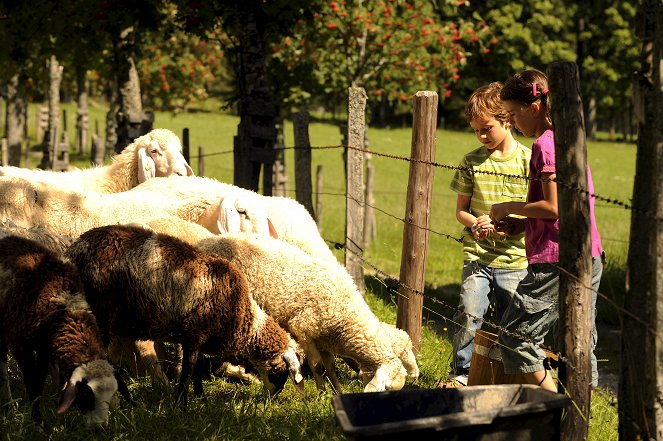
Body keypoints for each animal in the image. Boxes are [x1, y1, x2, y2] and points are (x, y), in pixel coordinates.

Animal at [0, 237, 124, 426]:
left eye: (111, 396)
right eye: (86, 394)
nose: (100, 428)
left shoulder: (44, 348)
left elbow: (39, 381)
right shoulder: (20, 343)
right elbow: (31, 381)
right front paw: (38, 424)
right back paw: (9, 406)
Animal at [63, 225, 308, 404]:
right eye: (282, 369)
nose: (273, 398)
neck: (243, 316)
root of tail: (75, 250)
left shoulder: (196, 337)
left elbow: (197, 370)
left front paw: (200, 399)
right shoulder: (194, 334)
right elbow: (188, 371)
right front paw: (181, 404)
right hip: (101, 313)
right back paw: (122, 400)